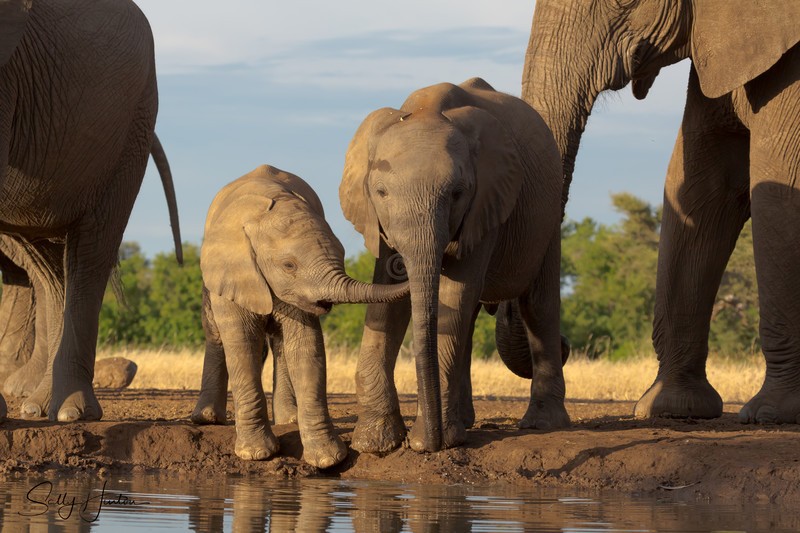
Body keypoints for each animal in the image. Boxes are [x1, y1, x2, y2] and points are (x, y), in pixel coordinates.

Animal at [191, 165, 409, 468]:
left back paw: (289, 419)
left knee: (281, 345)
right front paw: (256, 454)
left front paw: (328, 460)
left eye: (342, 253)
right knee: (216, 335)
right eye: (288, 265)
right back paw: (207, 418)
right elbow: (242, 345)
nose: (400, 262)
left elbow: (305, 348)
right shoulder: (235, 269)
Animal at [340, 77, 567, 453]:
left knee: (538, 306)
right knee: (470, 317)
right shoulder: (377, 221)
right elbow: (387, 304)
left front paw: (433, 442)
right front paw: (374, 443)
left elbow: (455, 291)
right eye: (382, 192)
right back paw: (465, 421)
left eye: (458, 193)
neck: (425, 110)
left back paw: (542, 424)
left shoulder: (486, 203)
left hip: (548, 214)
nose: (425, 444)